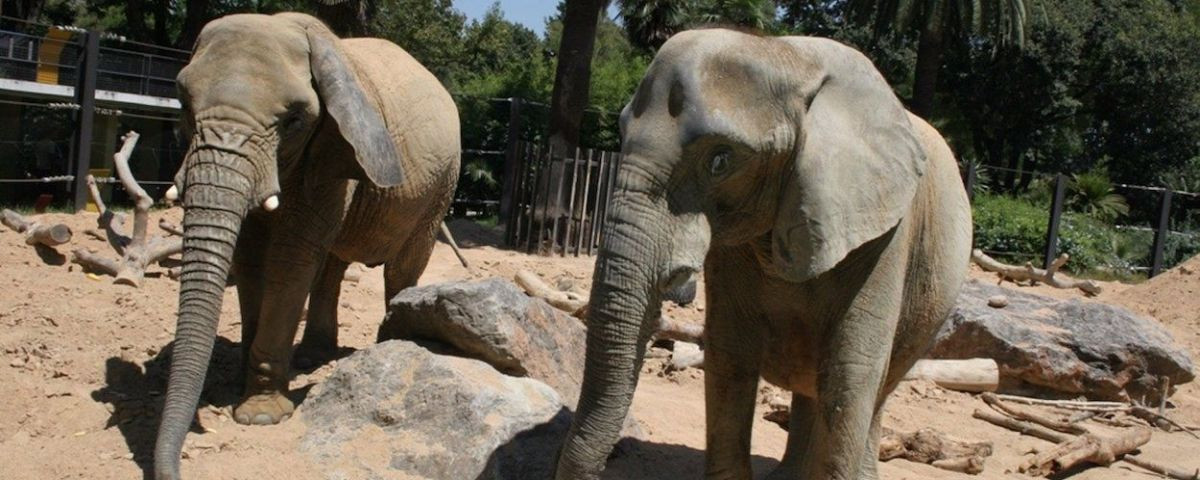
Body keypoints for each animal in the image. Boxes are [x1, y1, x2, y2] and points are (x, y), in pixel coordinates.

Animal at [152, 11, 460, 480]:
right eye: (184, 103)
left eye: (293, 121)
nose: (174, 467)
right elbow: (250, 258)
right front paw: (242, 386)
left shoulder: (331, 150)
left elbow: (290, 260)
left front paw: (259, 415)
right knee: (332, 266)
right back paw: (312, 358)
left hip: (439, 186)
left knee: (403, 267)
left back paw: (391, 342)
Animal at [552, 28, 974, 477]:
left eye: (721, 160)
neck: (786, 54)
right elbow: (728, 354)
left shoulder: (885, 232)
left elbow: (852, 373)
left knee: (872, 390)